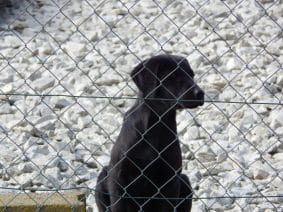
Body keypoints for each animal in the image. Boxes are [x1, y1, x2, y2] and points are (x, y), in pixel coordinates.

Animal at [96, 55, 205, 212]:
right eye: (173, 76)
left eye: (191, 75)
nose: (200, 93)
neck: (156, 125)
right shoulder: (118, 179)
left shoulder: (170, 181)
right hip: (102, 178)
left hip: (185, 182)